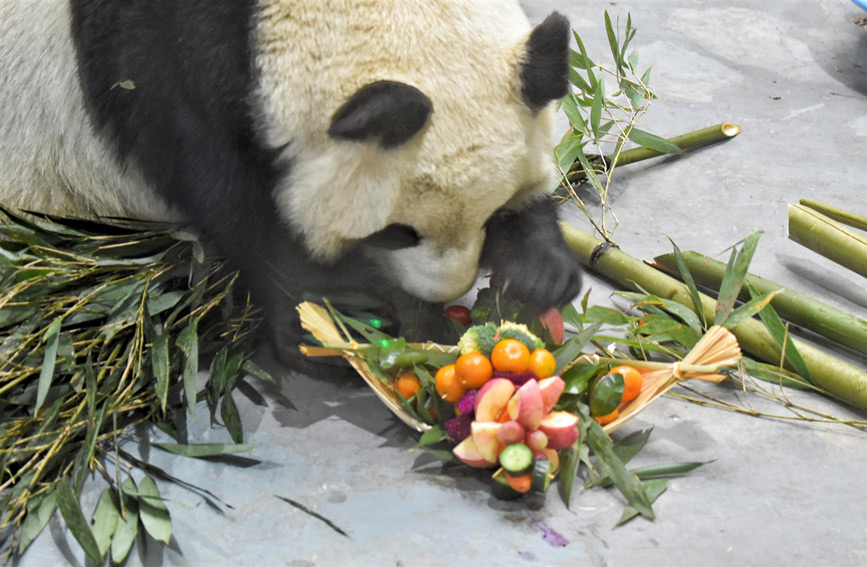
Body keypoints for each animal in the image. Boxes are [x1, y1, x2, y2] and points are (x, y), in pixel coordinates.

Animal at [1, 0, 584, 370]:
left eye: (493, 213)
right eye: (396, 233)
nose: (444, 290)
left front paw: (538, 271)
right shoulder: (163, 62)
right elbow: (223, 190)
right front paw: (332, 310)